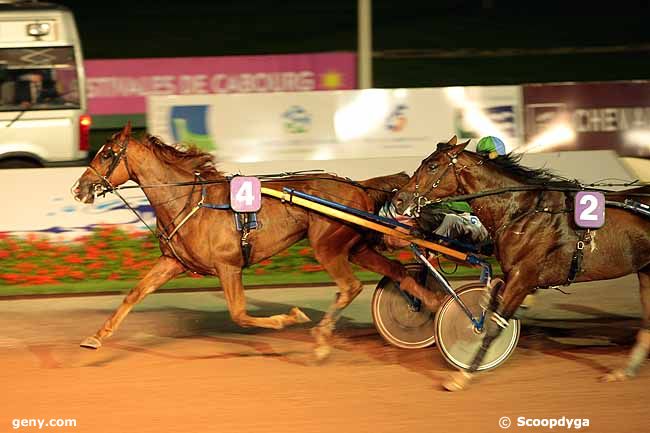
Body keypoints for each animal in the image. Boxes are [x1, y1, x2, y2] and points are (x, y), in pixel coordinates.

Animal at [73, 122, 442, 358]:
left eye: (107, 154)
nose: (79, 188)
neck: (190, 201)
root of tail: (358, 185)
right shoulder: (173, 261)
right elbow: (135, 293)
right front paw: (96, 337)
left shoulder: (228, 266)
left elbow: (239, 314)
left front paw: (288, 318)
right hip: (357, 246)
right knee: (398, 272)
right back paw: (434, 303)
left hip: (327, 245)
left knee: (350, 286)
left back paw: (323, 339)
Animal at [390, 137, 648, 390]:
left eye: (433, 166)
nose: (398, 199)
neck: (522, 211)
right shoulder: (512, 274)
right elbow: (492, 296)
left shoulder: (523, 277)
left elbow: (493, 325)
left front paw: (464, 375)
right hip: (646, 271)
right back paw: (624, 370)